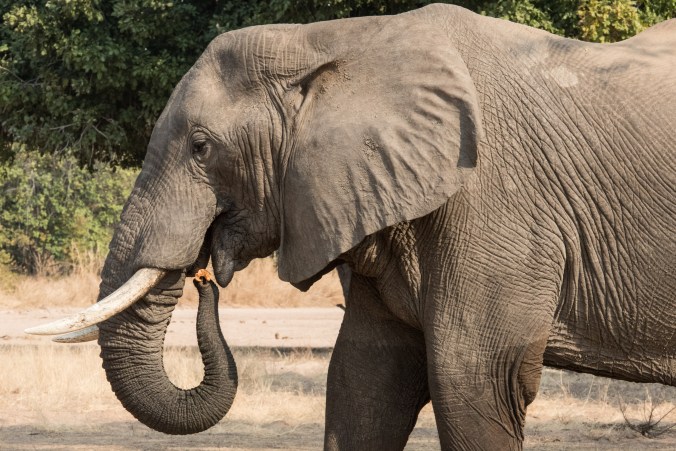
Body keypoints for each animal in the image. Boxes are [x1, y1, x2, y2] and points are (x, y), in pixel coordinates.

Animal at [26, 4, 676, 450]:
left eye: (202, 146)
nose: (206, 278)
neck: (335, 39)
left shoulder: (497, 204)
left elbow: (475, 378)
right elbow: (364, 380)